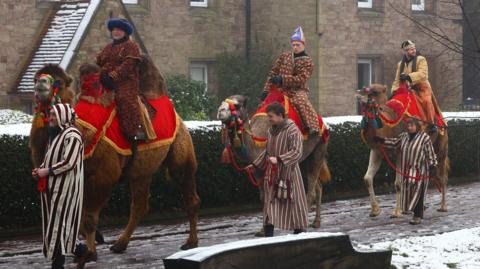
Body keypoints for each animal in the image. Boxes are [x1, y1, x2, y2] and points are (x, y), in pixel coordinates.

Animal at [28, 56, 201, 264]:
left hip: (181, 152)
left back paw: (191, 243)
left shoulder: (101, 176)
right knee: (139, 205)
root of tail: (175, 112)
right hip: (141, 171)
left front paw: (90, 253)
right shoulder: (78, 177)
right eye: (36, 77)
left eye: (58, 82)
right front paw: (93, 241)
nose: (41, 84)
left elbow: (88, 218)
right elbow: (76, 216)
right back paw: (120, 244)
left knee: (189, 193)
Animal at [217, 95, 330, 227]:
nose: (220, 111)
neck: (256, 142)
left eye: (237, 105)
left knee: (311, 189)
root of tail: (323, 123)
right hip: (304, 159)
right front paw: (263, 228)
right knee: (318, 186)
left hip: (319, 148)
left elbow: (269, 196)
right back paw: (316, 221)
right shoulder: (257, 170)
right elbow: (263, 197)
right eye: (222, 102)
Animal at [356, 84, 450, 218]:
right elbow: (367, 178)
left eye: (374, 92)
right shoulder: (377, 151)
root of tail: (442, 120)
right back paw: (421, 206)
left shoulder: (400, 151)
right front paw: (375, 211)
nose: (359, 94)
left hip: (441, 148)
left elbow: (398, 183)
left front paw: (397, 212)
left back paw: (443, 206)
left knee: (442, 177)